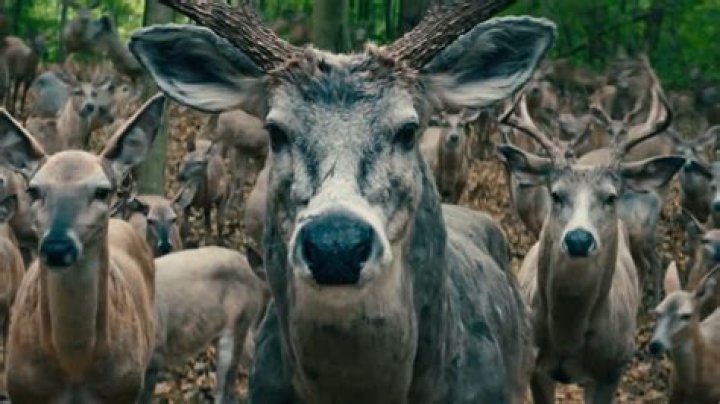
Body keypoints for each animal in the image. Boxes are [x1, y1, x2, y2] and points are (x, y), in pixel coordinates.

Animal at [2, 94, 164, 403]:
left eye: (102, 191)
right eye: (34, 190)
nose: (56, 246)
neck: (74, 370)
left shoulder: (125, 389)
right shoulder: (21, 389)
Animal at [497, 83, 682, 403]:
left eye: (611, 197)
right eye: (556, 194)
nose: (579, 239)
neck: (567, 334)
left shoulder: (612, 369)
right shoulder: (534, 366)